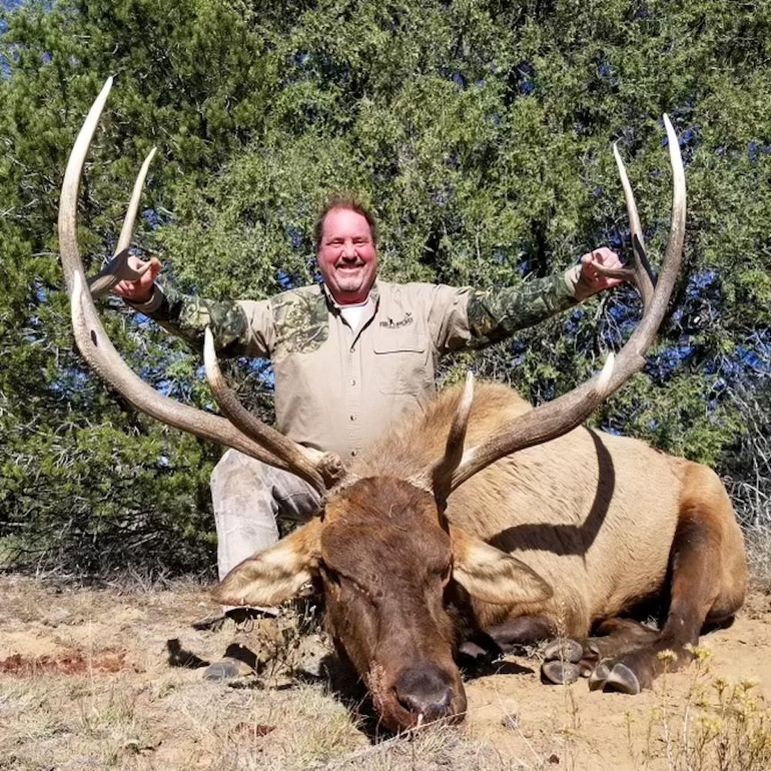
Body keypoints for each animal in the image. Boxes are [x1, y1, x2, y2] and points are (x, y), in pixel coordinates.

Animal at [59, 79, 746, 733]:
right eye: (334, 572)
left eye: (442, 569)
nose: (427, 700)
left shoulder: (565, 596)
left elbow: (500, 635)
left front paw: (543, 651)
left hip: (712, 526)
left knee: (681, 628)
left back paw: (615, 664)